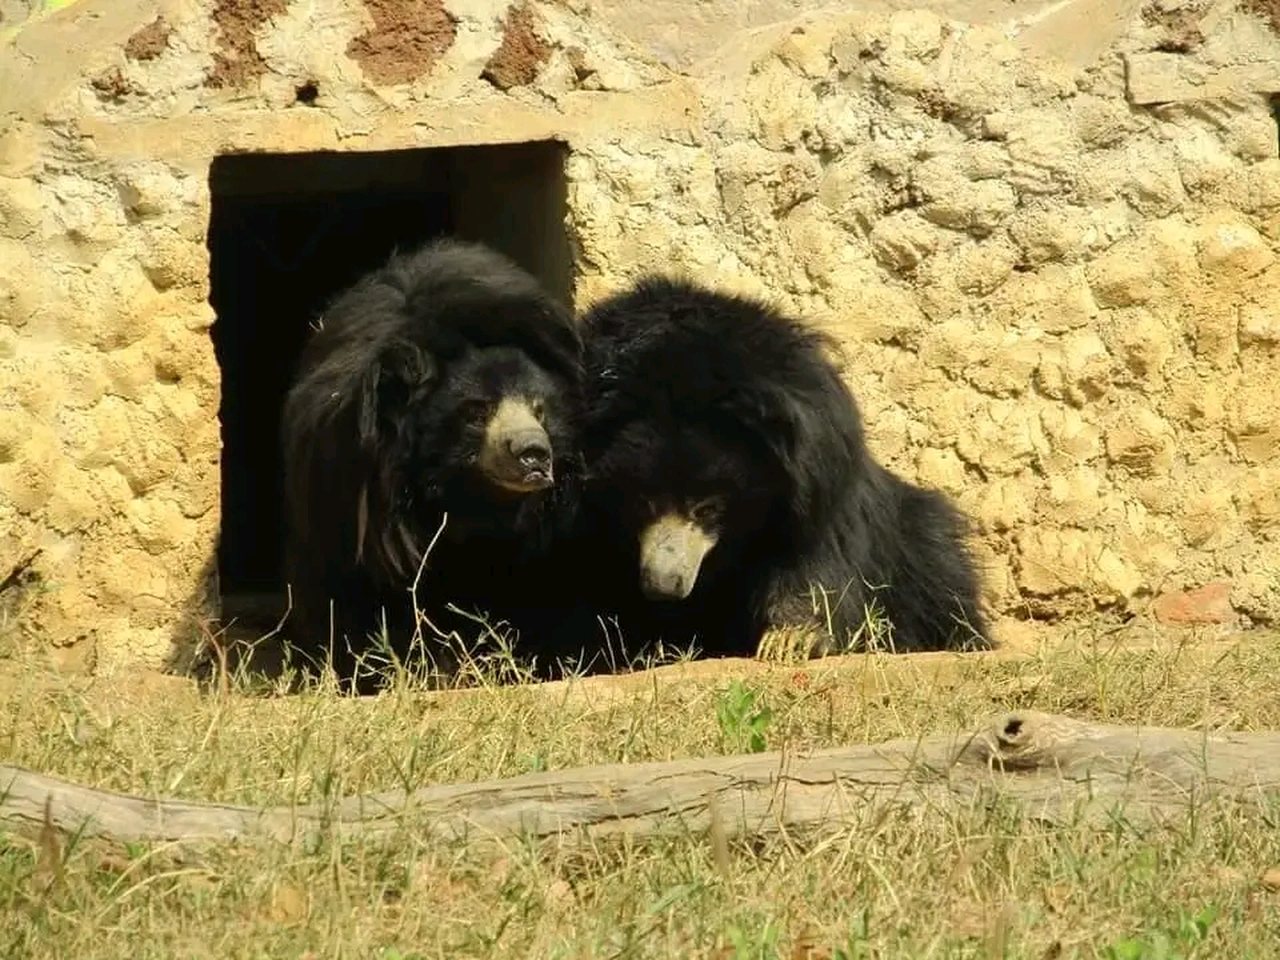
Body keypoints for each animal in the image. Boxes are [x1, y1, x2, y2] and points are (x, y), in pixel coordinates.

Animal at [574, 275, 992, 662]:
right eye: (642, 501)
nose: (664, 585)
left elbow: (814, 554)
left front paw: (793, 639)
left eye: (708, 508)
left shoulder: (814, 470)